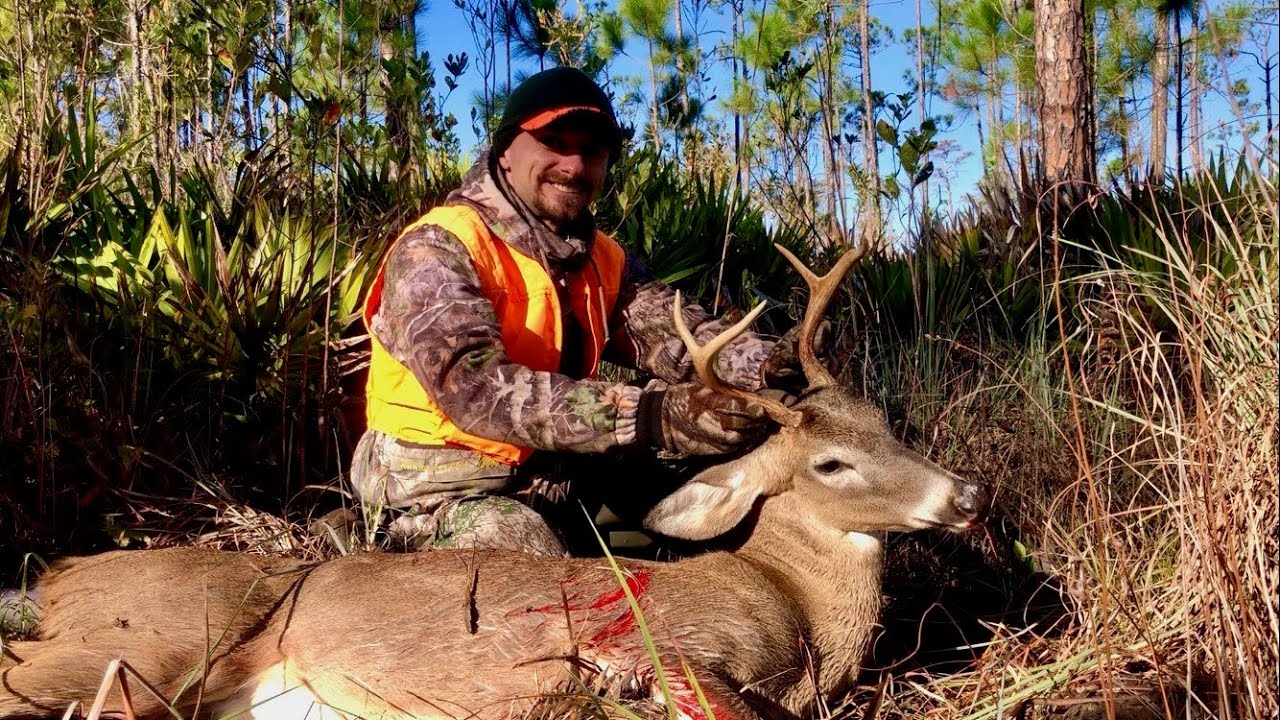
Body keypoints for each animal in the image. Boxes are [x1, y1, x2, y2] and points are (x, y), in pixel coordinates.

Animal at [0, 245, 989, 720]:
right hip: (150, 642)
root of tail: (63, 576)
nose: (969, 498)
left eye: (887, 424)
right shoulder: (673, 647)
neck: (793, 604)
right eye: (831, 463)